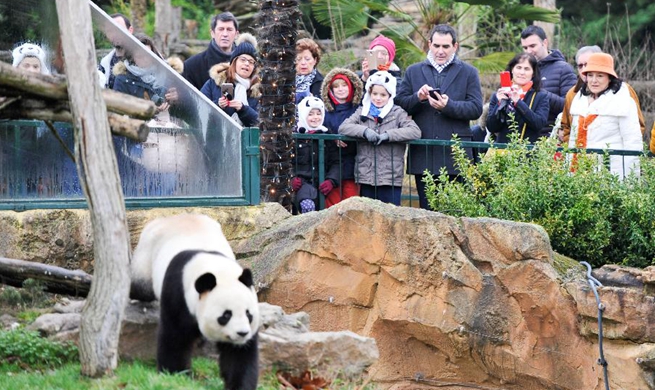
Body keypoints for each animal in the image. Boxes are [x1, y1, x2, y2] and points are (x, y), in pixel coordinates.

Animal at [131, 213, 258, 390]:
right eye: (226, 315)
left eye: (249, 314)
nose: (242, 333)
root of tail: (171, 217)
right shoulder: (178, 292)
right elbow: (174, 337)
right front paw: (175, 376)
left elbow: (238, 356)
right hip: (146, 256)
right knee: (140, 286)